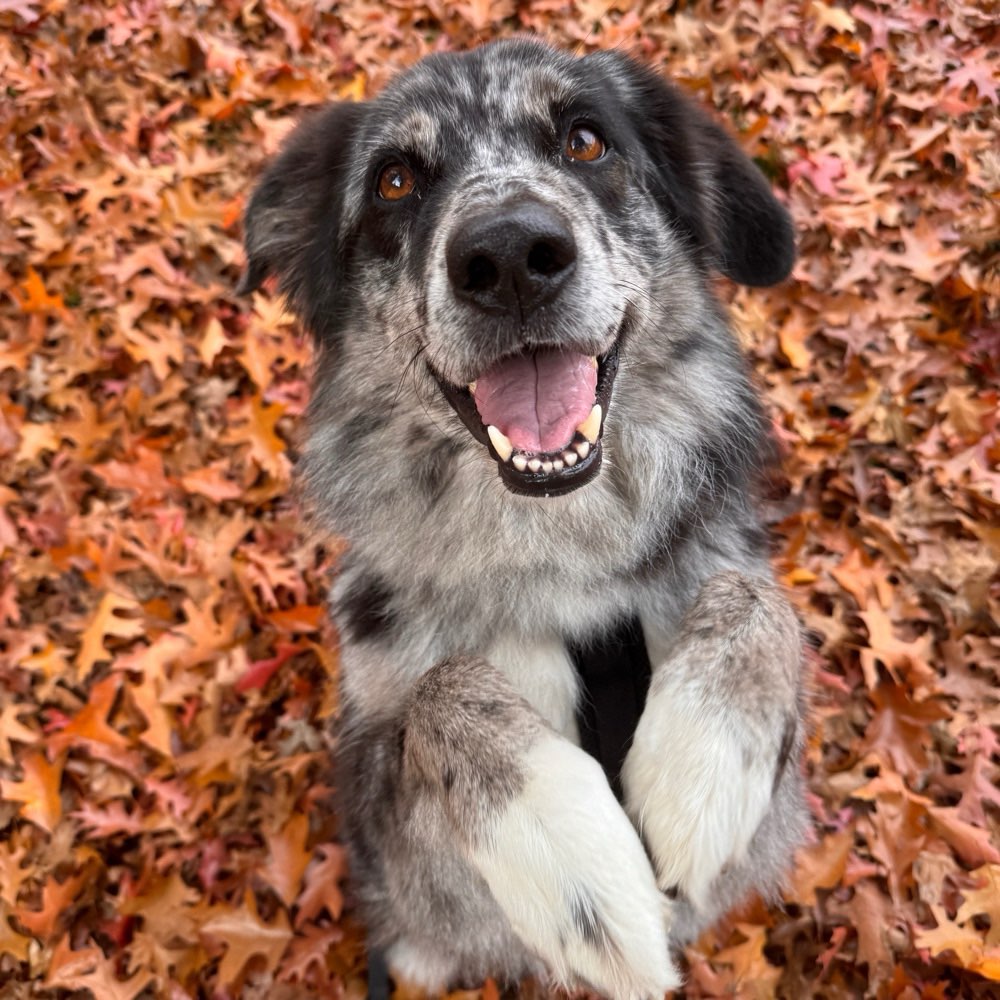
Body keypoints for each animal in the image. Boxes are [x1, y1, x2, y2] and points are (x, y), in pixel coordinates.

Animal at [238, 35, 808, 996]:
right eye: (395, 181)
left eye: (585, 141)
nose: (509, 255)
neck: (561, 557)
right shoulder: (400, 851)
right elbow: (440, 691)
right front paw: (568, 855)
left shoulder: (774, 812)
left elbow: (761, 598)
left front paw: (703, 770)